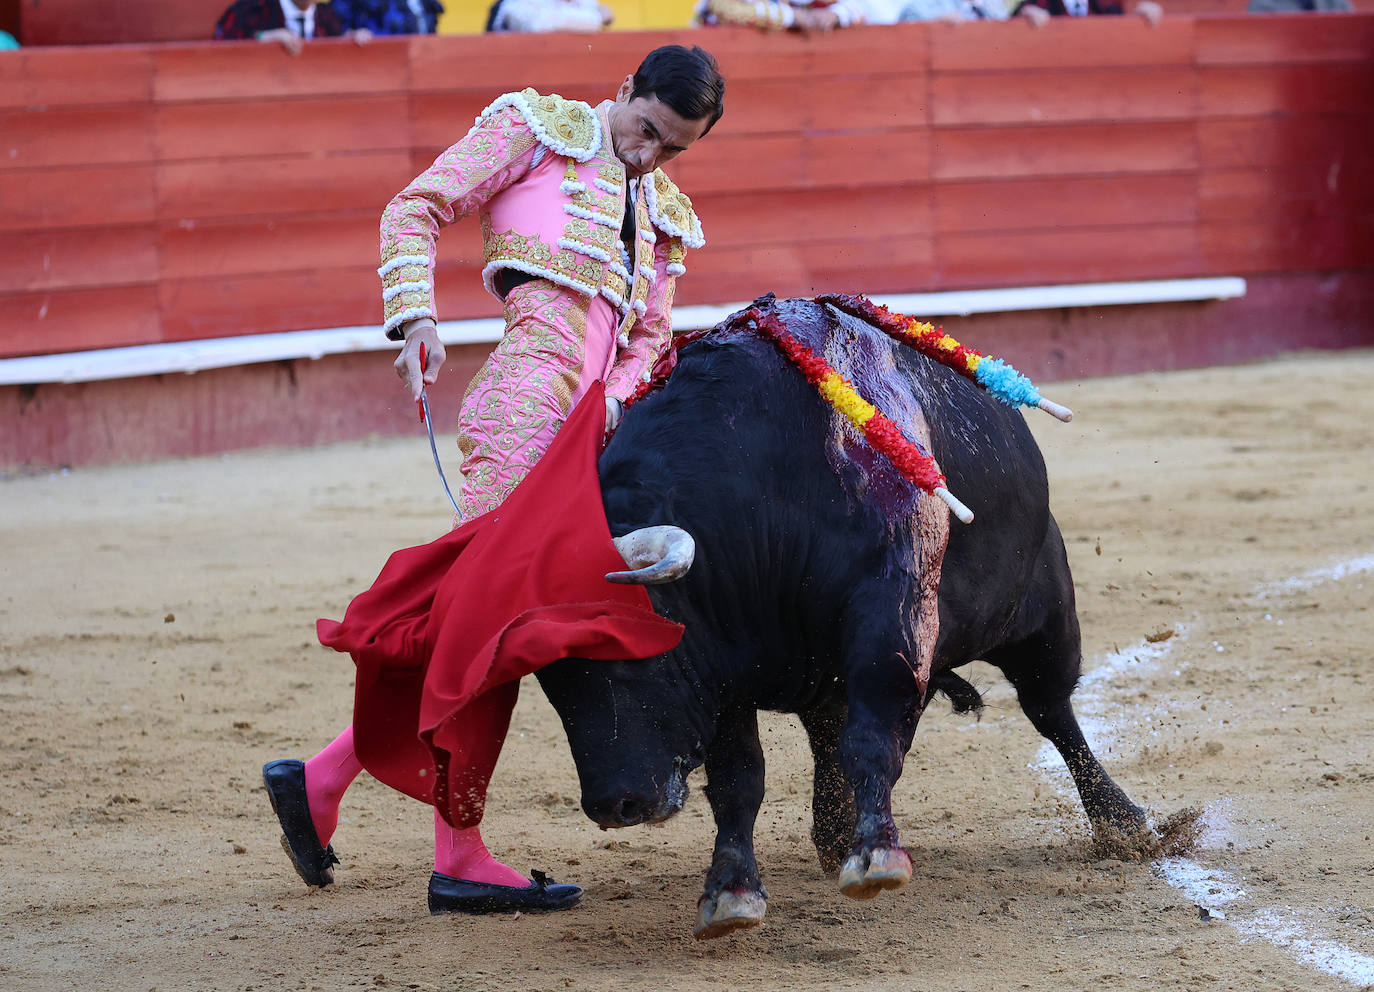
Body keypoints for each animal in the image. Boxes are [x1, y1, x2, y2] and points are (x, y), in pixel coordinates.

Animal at [535, 294, 1148, 934]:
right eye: (547, 681)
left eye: (630, 655)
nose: (614, 804)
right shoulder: (720, 671)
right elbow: (738, 779)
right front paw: (730, 890)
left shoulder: (890, 617)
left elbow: (873, 737)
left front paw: (877, 854)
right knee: (831, 733)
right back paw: (834, 834)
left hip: (1046, 611)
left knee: (1050, 708)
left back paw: (1123, 824)